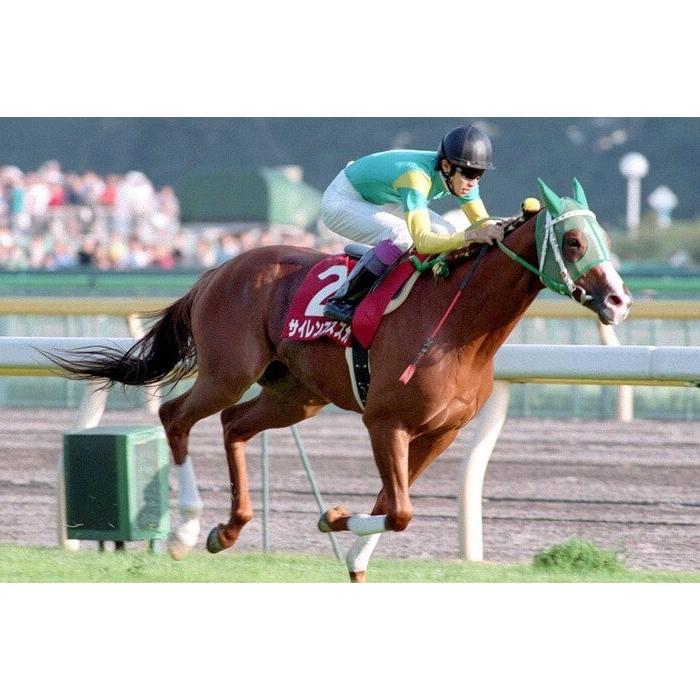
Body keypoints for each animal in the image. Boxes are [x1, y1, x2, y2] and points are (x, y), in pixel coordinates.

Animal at [47, 178, 632, 582]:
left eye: (602, 235)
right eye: (574, 241)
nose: (619, 300)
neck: (458, 326)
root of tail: (218, 269)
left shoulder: (441, 433)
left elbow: (390, 505)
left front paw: (348, 548)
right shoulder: (385, 423)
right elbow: (399, 510)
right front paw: (333, 520)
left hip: (295, 394)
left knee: (234, 423)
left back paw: (228, 528)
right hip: (229, 372)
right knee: (176, 416)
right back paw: (186, 529)